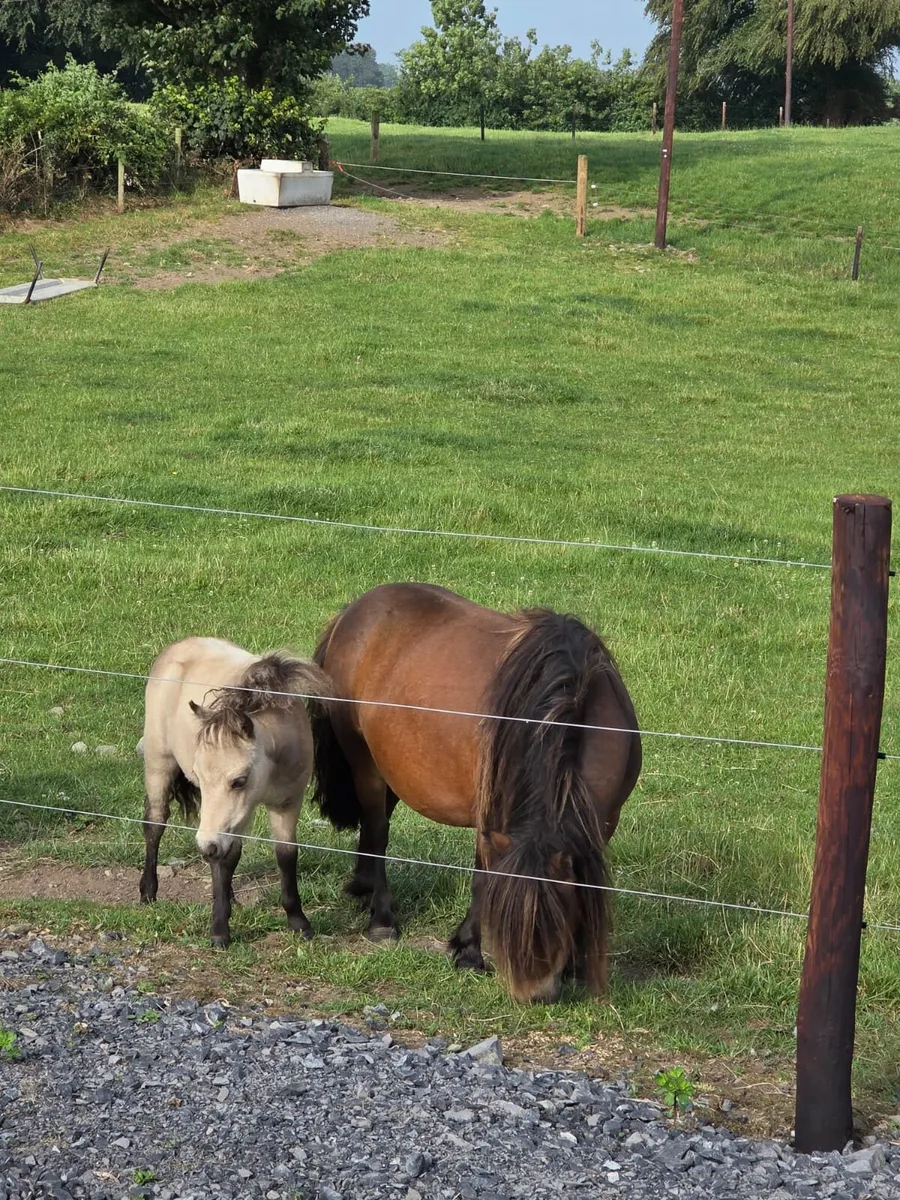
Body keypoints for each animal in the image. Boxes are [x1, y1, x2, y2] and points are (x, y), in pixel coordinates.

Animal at [139, 637, 330, 948]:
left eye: (239, 781)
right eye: (200, 776)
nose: (205, 845)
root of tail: (177, 648)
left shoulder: (286, 803)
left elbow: (285, 854)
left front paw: (298, 922)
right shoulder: (232, 814)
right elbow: (225, 858)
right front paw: (219, 930)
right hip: (158, 763)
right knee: (155, 823)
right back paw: (148, 891)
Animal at [308, 583, 642, 1004]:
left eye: (559, 917)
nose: (535, 994)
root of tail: (354, 610)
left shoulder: (603, 821)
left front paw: (576, 967)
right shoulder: (491, 820)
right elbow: (483, 880)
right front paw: (468, 951)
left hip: (392, 768)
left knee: (374, 827)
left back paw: (363, 889)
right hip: (364, 762)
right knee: (377, 830)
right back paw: (382, 920)